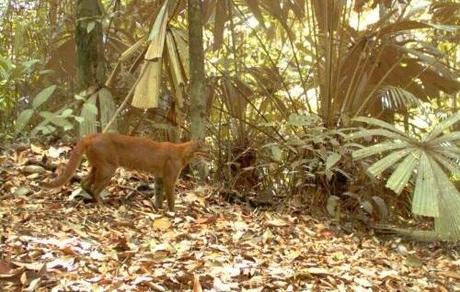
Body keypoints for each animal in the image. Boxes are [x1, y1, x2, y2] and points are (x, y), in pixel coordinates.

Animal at [43, 133, 205, 211]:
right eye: (206, 149)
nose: (209, 154)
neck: (183, 152)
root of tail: (92, 135)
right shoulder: (170, 178)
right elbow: (171, 196)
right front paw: (173, 211)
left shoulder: (159, 177)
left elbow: (158, 193)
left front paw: (158, 207)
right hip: (107, 168)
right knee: (95, 187)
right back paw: (102, 204)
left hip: (97, 166)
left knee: (84, 183)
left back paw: (93, 199)